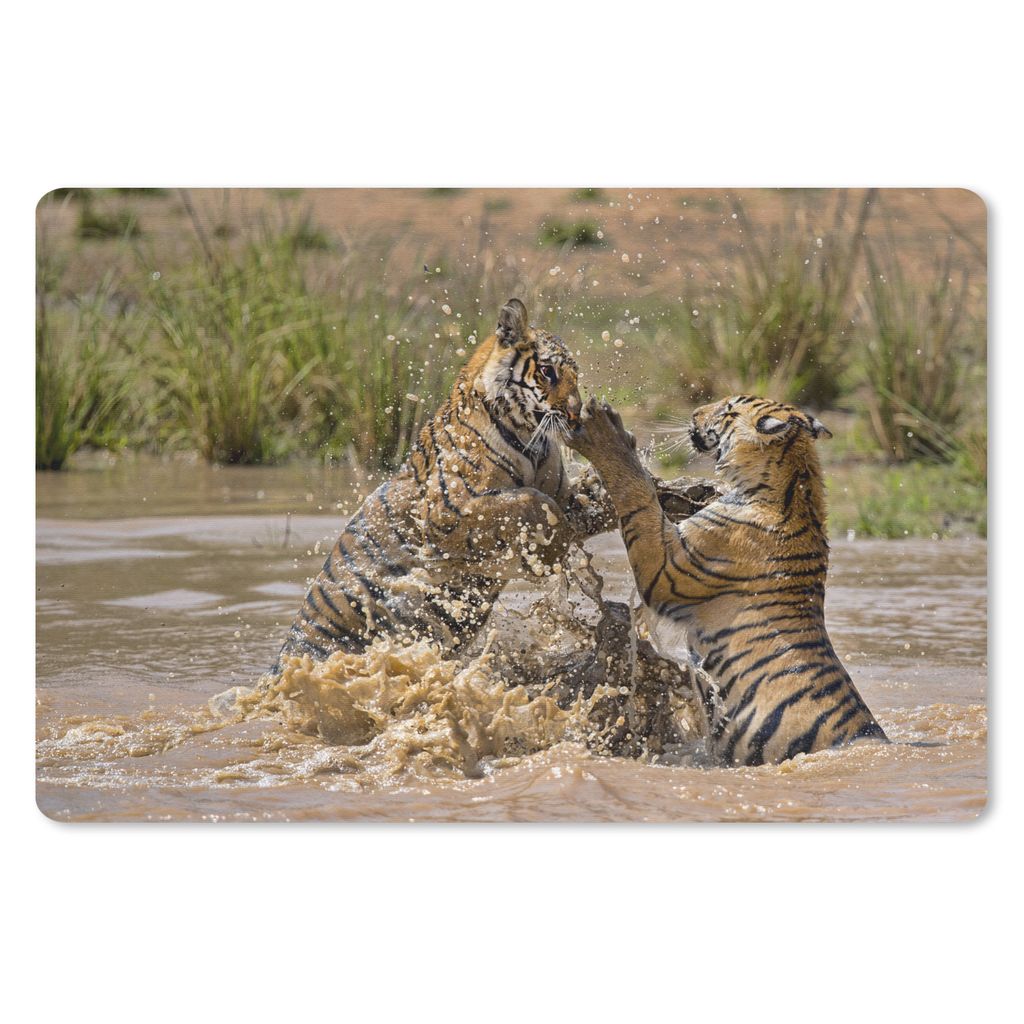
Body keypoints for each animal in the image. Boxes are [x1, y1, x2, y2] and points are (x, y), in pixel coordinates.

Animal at [272, 298, 617, 674]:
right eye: (547, 372)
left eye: (575, 376)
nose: (575, 414)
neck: (531, 440)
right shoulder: (447, 511)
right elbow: (531, 502)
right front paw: (551, 554)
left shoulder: (560, 491)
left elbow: (573, 503)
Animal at [566, 394, 888, 766]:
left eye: (727, 410)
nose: (694, 413)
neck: (794, 484)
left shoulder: (665, 570)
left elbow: (639, 496)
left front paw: (607, 432)